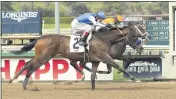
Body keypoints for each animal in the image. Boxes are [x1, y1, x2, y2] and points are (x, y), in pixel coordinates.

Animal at [8, 22, 147, 90]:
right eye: (136, 31)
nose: (146, 36)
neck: (105, 38)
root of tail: (40, 38)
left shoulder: (96, 60)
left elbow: (93, 75)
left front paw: (93, 87)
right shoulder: (106, 57)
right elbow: (120, 67)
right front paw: (136, 79)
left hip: (40, 57)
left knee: (27, 64)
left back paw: (13, 79)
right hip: (43, 58)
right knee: (30, 68)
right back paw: (23, 84)